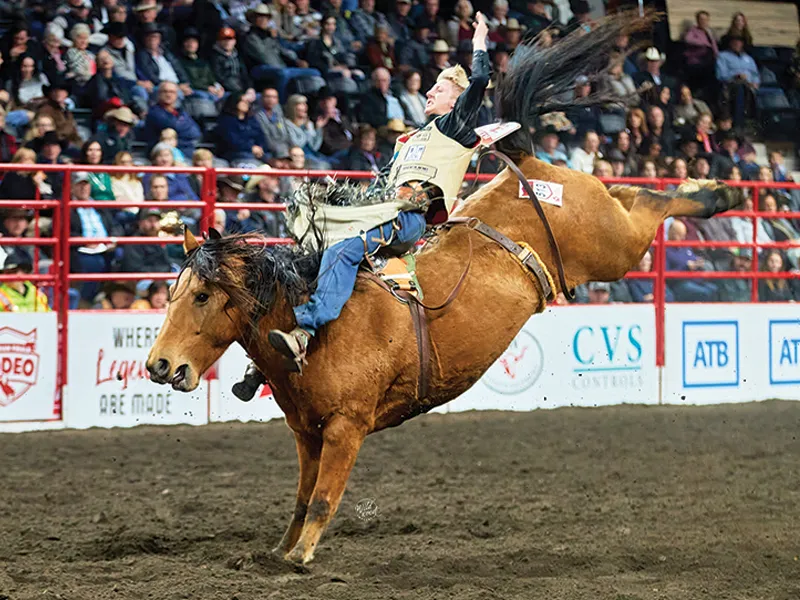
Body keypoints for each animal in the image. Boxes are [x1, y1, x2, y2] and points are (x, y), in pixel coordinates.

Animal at [146, 15, 744, 565]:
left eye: (202, 297)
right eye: (173, 296)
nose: (158, 365)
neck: (312, 330)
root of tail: (525, 161)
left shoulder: (345, 428)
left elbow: (321, 499)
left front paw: (299, 557)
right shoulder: (306, 433)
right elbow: (299, 499)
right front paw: (277, 550)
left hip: (611, 247)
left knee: (652, 207)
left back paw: (714, 193)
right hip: (605, 223)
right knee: (634, 195)